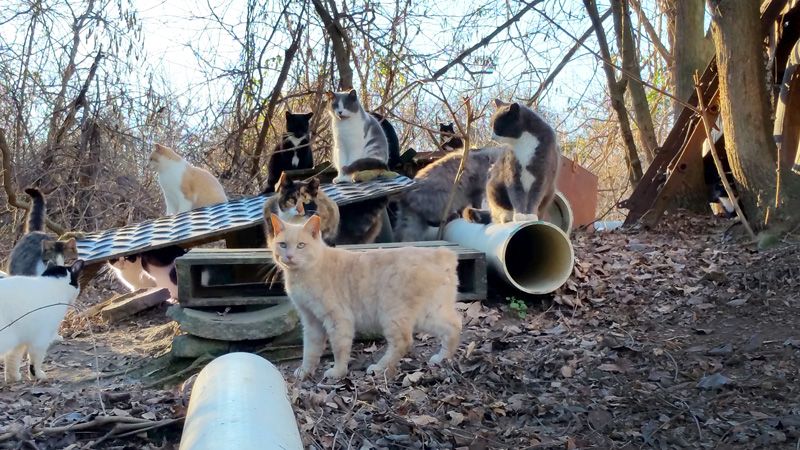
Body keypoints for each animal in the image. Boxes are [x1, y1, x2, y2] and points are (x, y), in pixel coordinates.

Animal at [268, 214, 460, 380]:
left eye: (301, 245)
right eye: (283, 244)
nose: (289, 256)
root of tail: (441, 253)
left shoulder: (338, 319)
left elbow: (339, 348)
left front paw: (338, 372)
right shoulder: (311, 321)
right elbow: (310, 350)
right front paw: (305, 371)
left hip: (393, 314)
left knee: (403, 341)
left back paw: (379, 368)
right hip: (428, 314)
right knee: (454, 326)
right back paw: (443, 358)